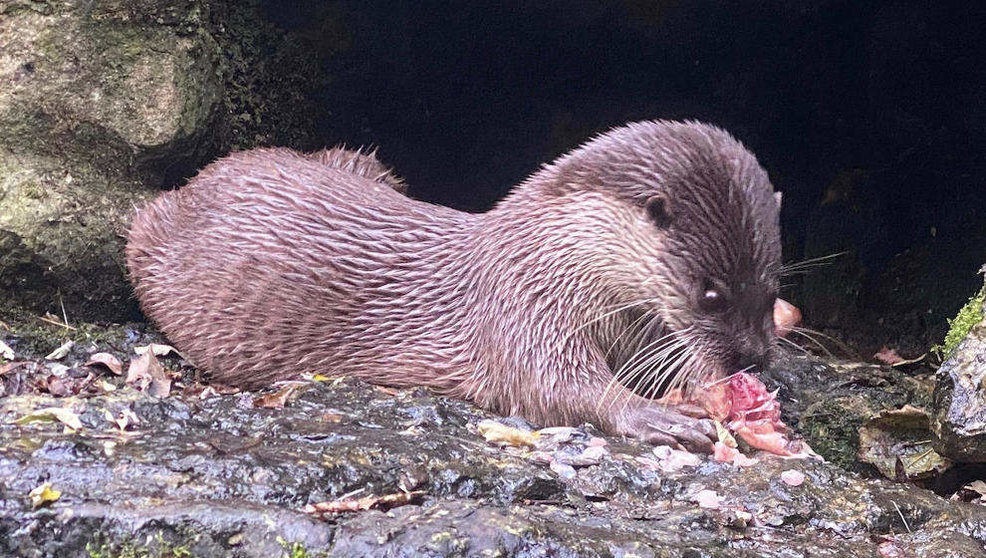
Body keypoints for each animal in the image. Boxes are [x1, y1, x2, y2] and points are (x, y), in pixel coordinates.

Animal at [127, 120, 780, 452]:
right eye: (711, 294)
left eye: (773, 289)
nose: (753, 358)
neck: (552, 255)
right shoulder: (523, 307)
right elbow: (554, 387)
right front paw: (655, 416)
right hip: (145, 235)